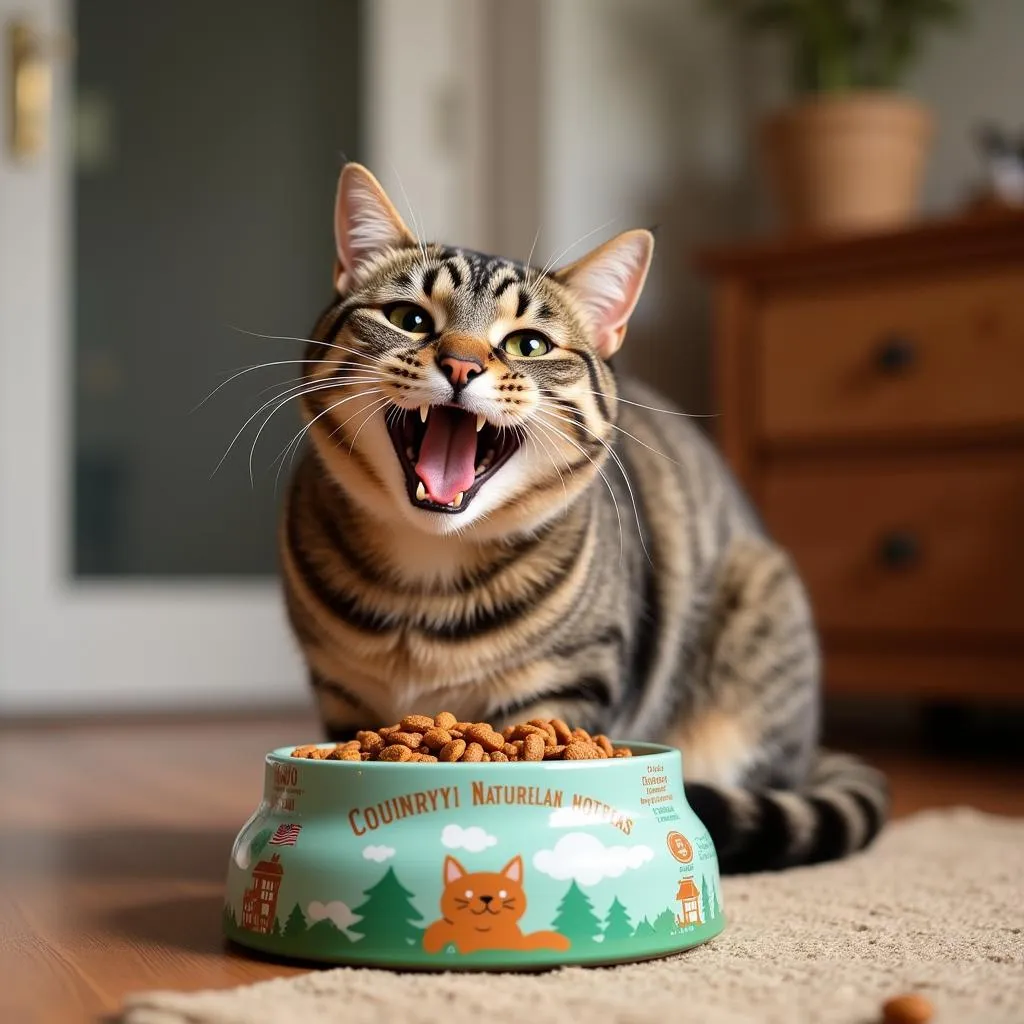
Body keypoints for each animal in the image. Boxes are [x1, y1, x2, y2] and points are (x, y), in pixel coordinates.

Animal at [280, 161, 888, 872]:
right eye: (409, 317)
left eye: (528, 344)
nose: (460, 363)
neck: (424, 579)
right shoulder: (341, 694)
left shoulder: (570, 682)